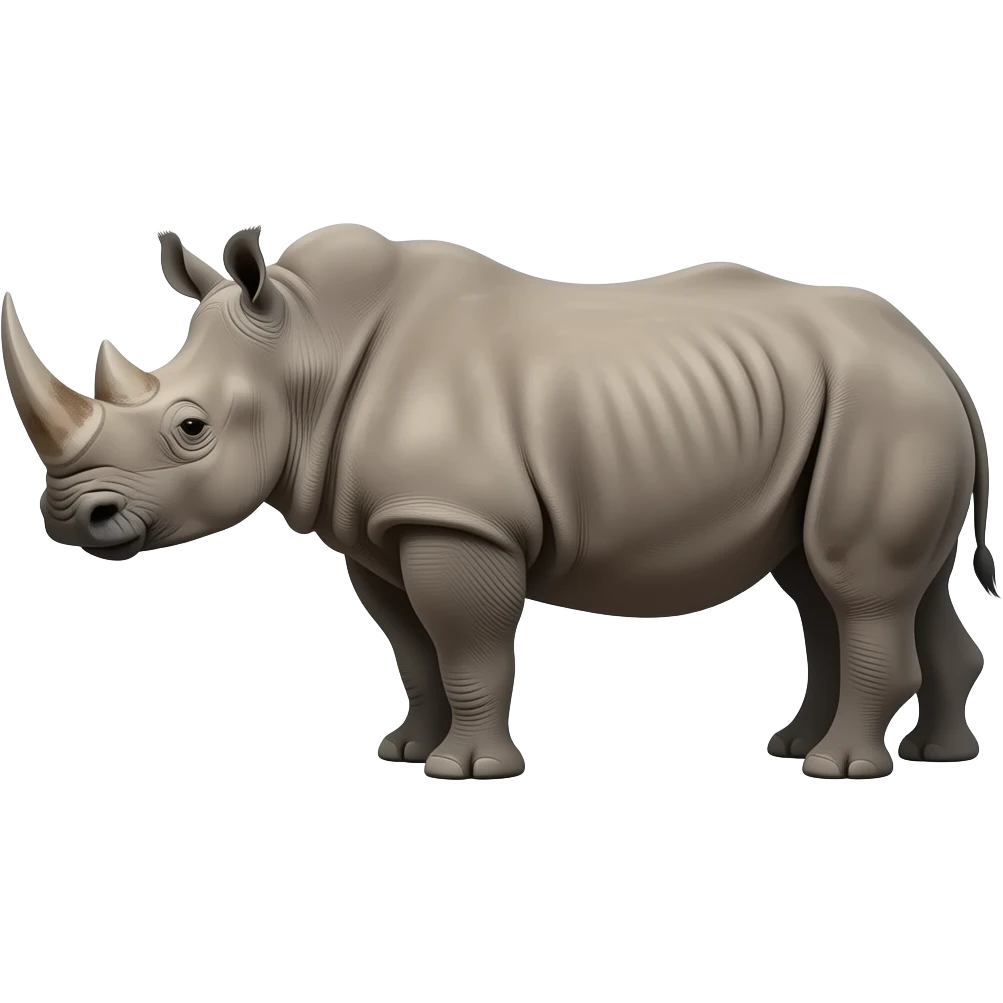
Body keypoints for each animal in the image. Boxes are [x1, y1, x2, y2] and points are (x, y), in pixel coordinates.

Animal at [2, 225, 997, 781]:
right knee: (846, 585)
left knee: (855, 585)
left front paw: (467, 770)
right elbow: (411, 649)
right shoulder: (383, 525)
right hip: (867, 407)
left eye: (191, 427)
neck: (305, 350)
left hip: (881, 406)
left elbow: (467, 643)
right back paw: (894, 755)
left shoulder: (456, 519)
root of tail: (939, 360)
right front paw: (404, 751)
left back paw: (837, 768)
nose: (72, 518)